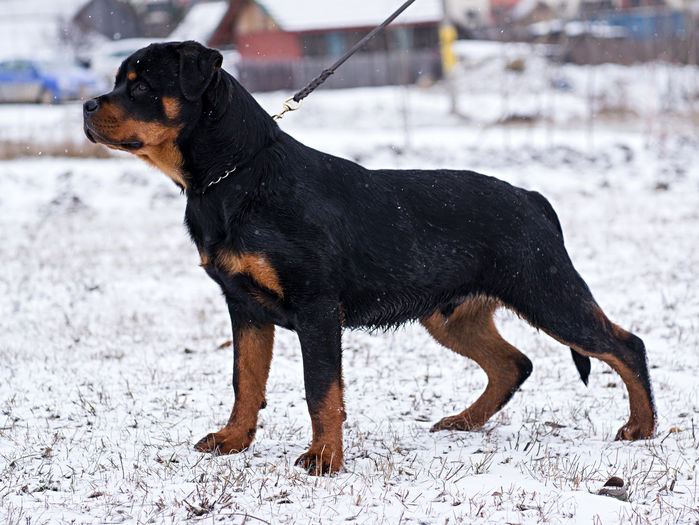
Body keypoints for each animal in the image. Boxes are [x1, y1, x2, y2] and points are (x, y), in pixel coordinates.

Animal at [83, 42, 656, 474]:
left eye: (141, 86)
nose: (87, 105)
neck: (238, 175)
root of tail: (532, 198)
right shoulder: (244, 307)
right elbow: (245, 380)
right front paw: (233, 439)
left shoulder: (315, 307)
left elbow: (321, 390)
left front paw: (323, 458)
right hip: (451, 316)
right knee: (514, 363)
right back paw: (464, 422)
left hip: (546, 291)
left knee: (624, 345)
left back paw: (642, 428)